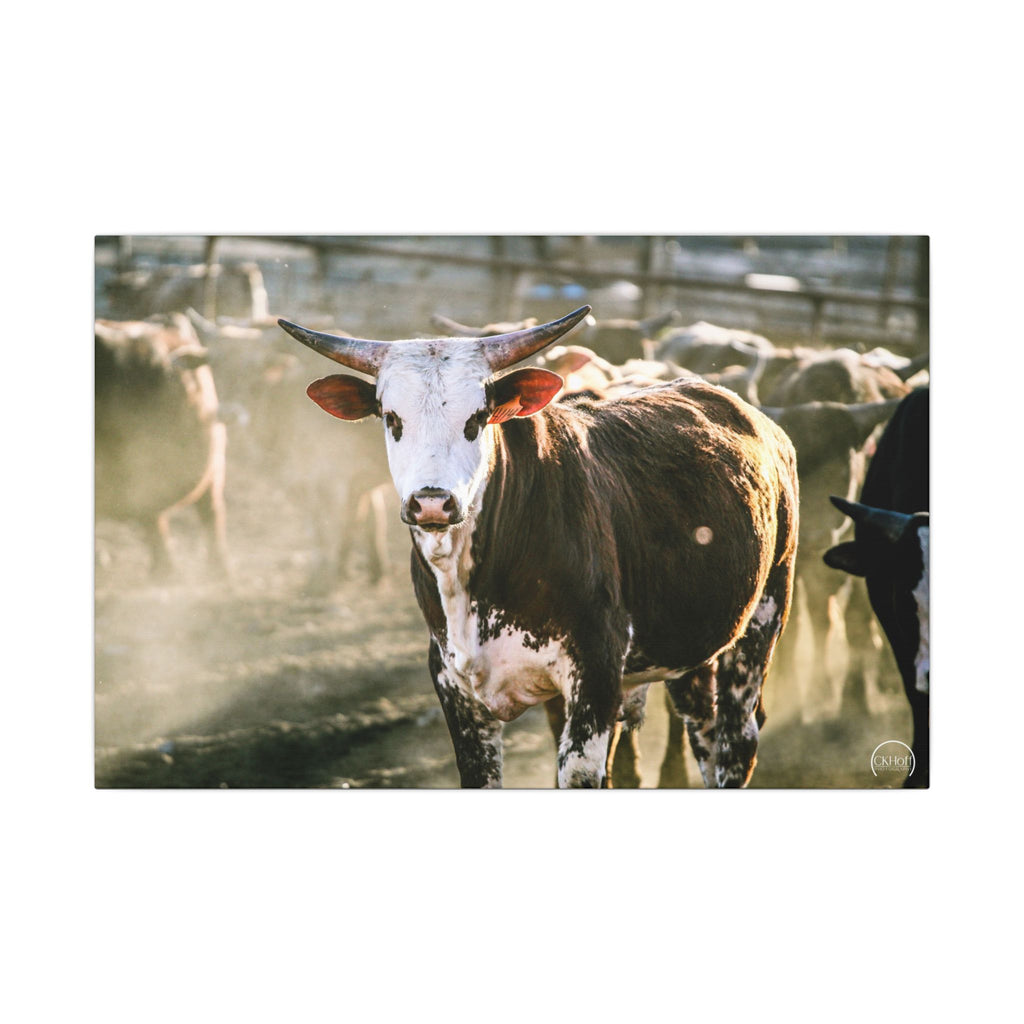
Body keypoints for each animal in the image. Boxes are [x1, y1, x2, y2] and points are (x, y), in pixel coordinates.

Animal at [277, 306, 800, 789]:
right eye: (391, 418)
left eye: (477, 418)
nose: (431, 502)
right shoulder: (455, 686)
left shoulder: (595, 674)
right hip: (693, 643)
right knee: (702, 730)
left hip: (760, 623)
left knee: (736, 742)